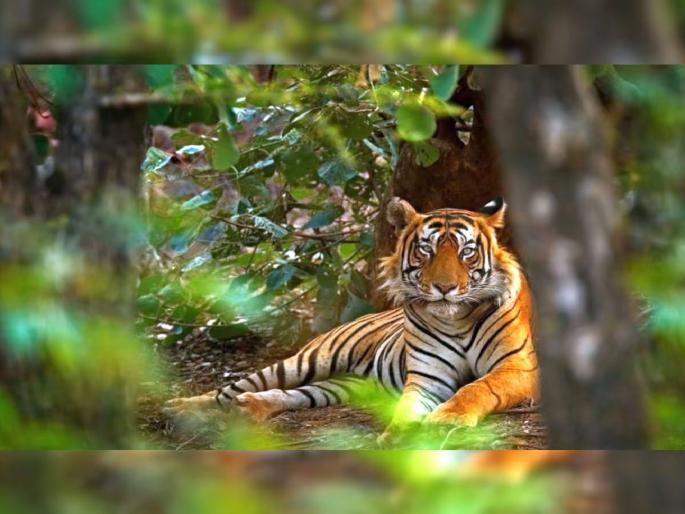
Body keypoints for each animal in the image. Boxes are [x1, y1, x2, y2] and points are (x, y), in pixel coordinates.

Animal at [165, 197, 538, 444]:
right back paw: (180, 407)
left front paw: (448, 418)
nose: (444, 288)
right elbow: (407, 407)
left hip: (343, 385)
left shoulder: (519, 367)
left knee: (294, 394)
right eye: (426, 250)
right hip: (309, 360)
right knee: (232, 388)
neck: (456, 319)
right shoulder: (427, 378)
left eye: (466, 252)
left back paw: (250, 407)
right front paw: (397, 435)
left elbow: (477, 387)